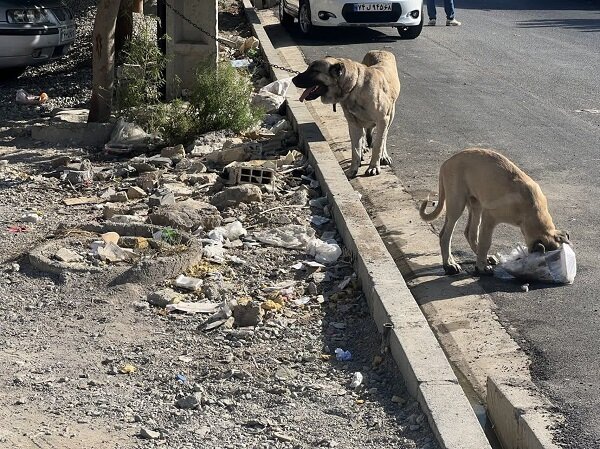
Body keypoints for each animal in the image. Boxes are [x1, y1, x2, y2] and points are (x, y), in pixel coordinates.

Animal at [420, 148, 568, 272]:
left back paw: (482, 257)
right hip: (457, 204)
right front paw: (481, 267)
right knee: (446, 235)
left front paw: (482, 262)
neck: (532, 209)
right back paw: (449, 264)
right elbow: (486, 242)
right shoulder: (490, 216)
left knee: (470, 233)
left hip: (476, 204)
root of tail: (446, 162)